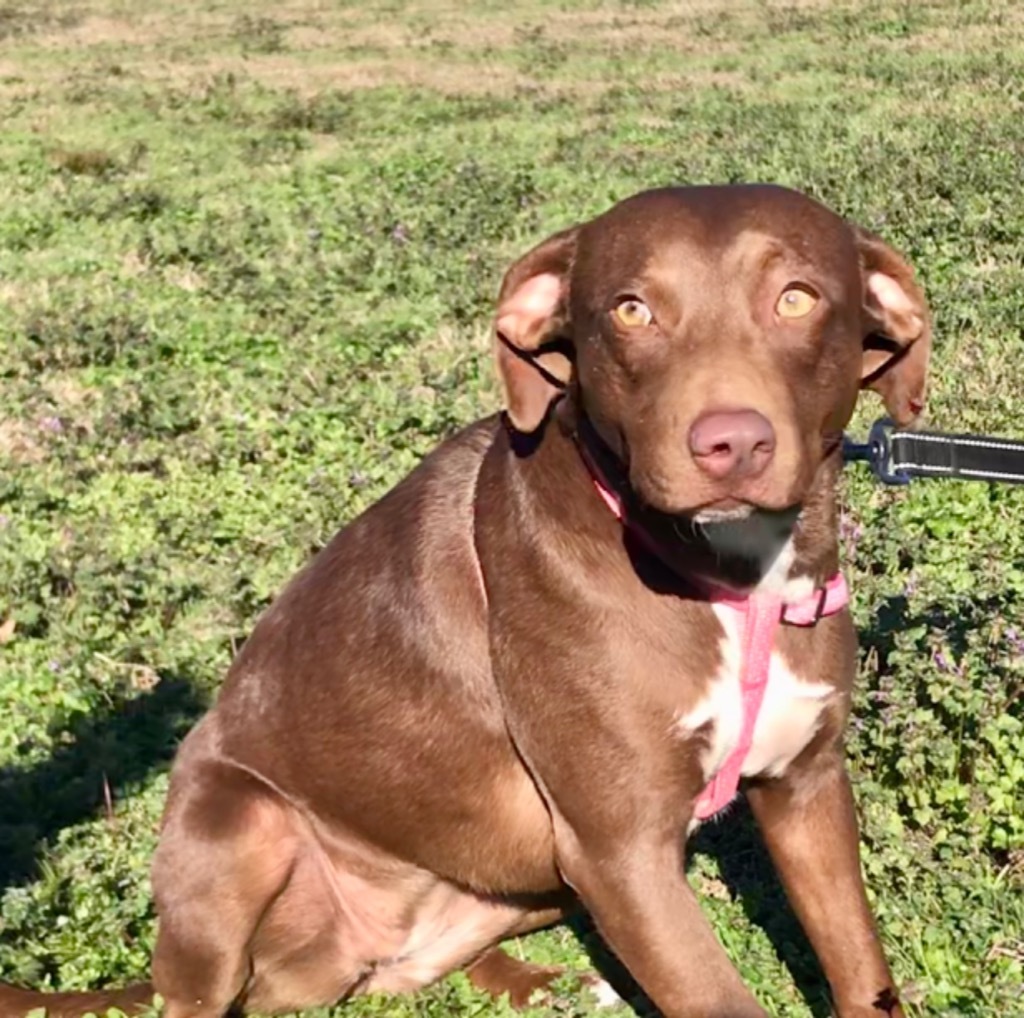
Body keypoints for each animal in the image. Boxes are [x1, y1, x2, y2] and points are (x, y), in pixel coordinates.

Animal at [0, 184, 929, 1015]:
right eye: (630, 311)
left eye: (797, 297)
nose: (729, 443)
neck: (734, 582)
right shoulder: (622, 849)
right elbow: (716, 994)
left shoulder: (806, 789)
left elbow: (860, 965)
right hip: (238, 828)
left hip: (529, 881)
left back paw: (552, 985)